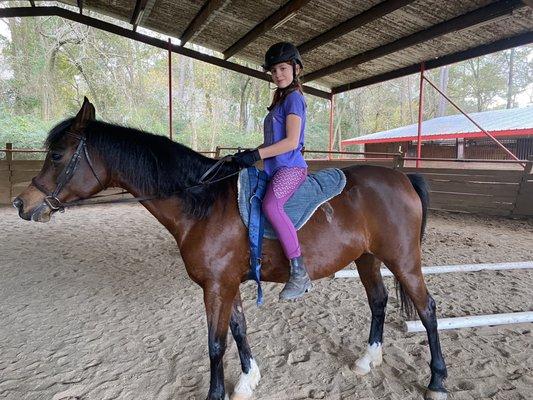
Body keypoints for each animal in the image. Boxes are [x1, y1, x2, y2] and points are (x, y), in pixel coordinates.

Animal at [12, 97, 446, 400]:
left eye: (56, 155)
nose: (21, 203)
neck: (201, 202)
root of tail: (401, 177)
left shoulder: (216, 286)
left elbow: (215, 343)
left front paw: (217, 392)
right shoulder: (228, 283)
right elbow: (238, 329)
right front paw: (247, 381)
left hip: (402, 259)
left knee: (426, 308)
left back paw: (437, 381)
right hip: (367, 258)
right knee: (378, 301)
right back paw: (367, 360)